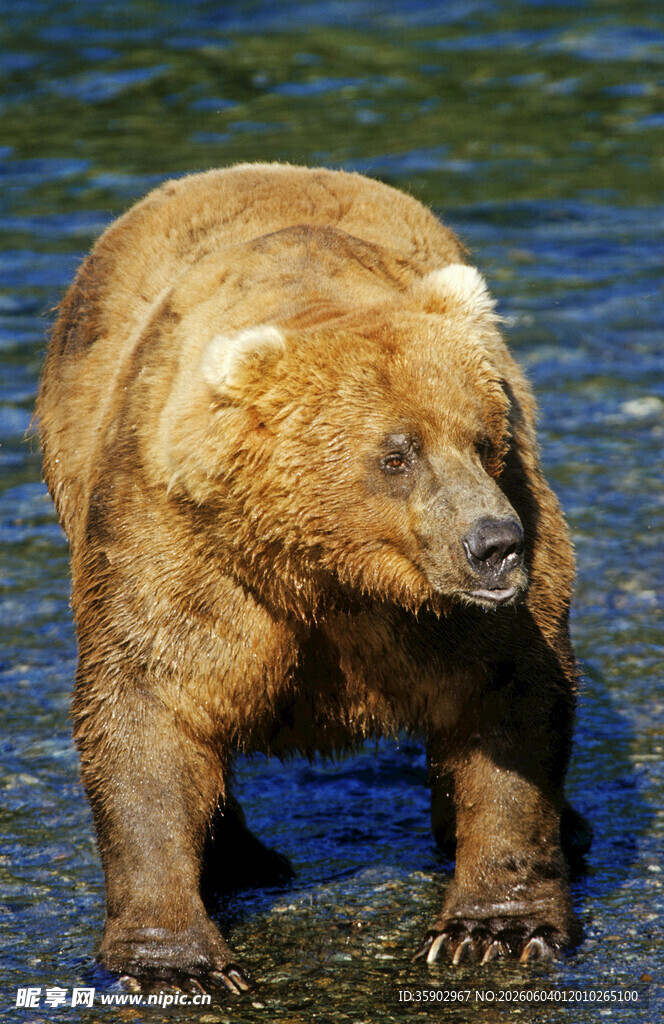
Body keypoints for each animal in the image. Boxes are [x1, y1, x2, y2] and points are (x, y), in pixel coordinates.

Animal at [37, 163, 588, 993]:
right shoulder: (179, 537)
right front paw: (178, 963)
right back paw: (238, 857)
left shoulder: (480, 580)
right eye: (396, 454)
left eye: (482, 438)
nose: (495, 544)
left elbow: (512, 689)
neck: (332, 571)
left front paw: (493, 928)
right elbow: (148, 703)